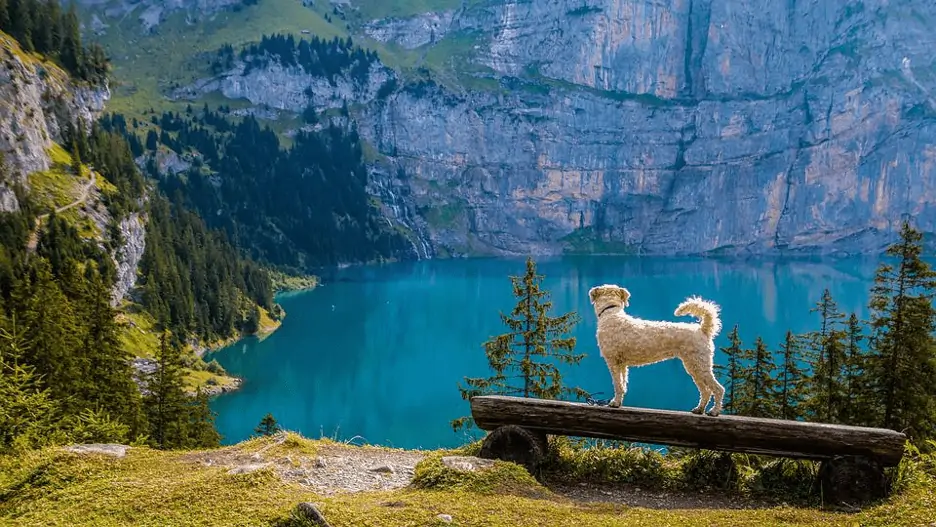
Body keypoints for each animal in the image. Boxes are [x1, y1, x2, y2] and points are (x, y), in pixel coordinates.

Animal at [588, 284, 728, 416]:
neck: (611, 313)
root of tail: (703, 330)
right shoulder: (622, 364)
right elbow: (623, 384)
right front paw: (618, 402)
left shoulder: (613, 361)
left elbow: (617, 385)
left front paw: (614, 403)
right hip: (694, 367)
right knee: (706, 391)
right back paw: (699, 409)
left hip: (700, 365)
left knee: (718, 389)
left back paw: (714, 411)